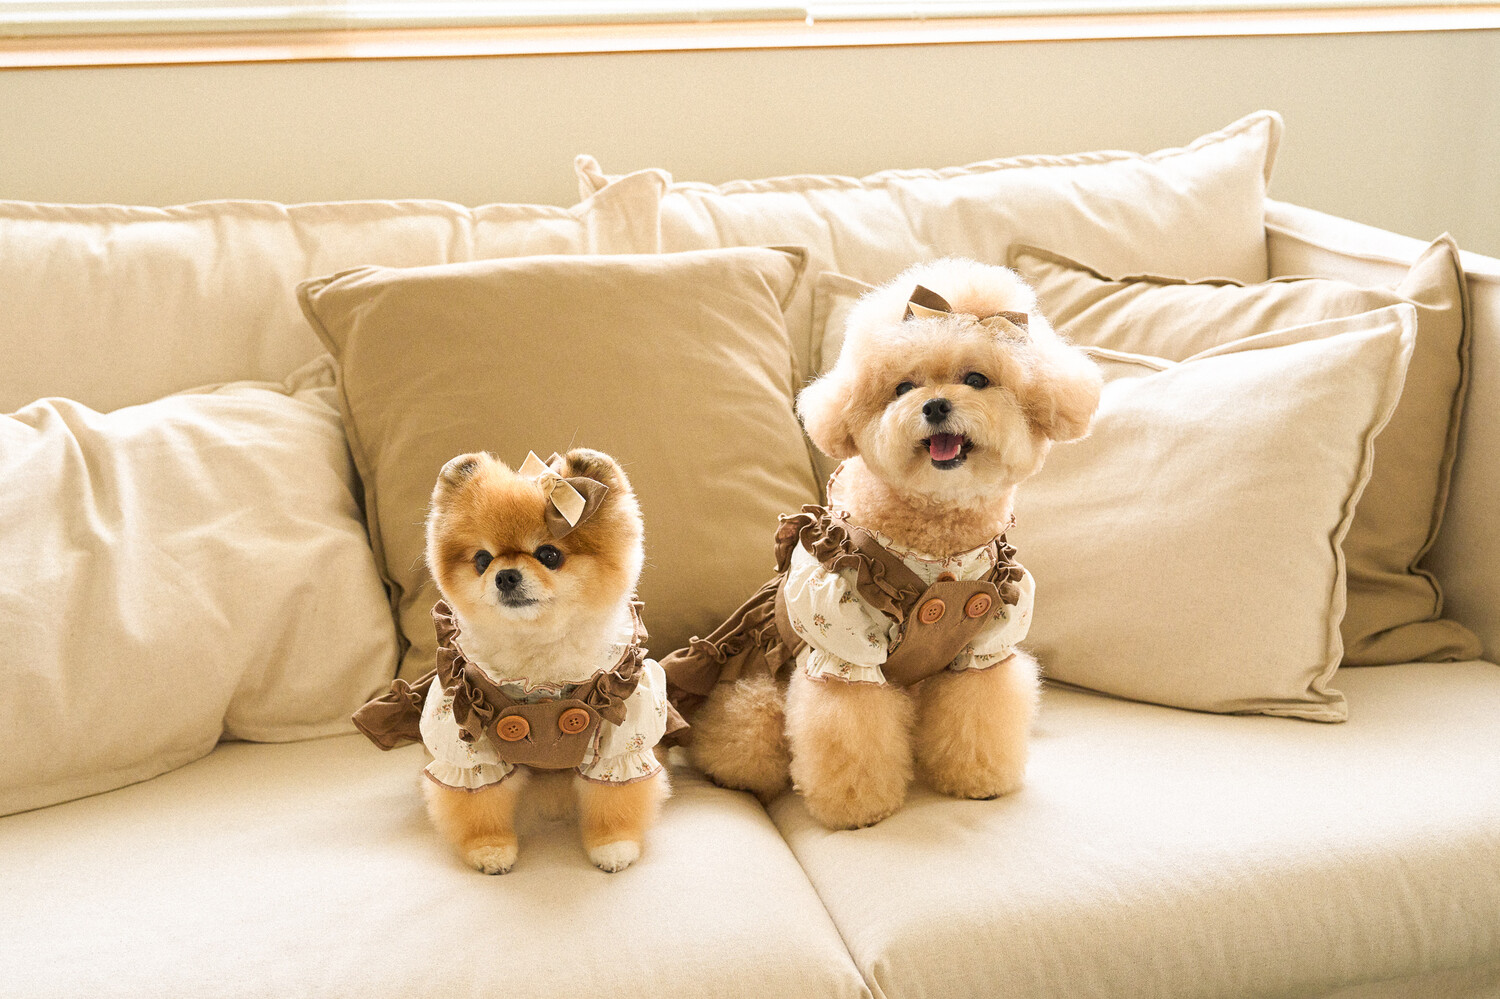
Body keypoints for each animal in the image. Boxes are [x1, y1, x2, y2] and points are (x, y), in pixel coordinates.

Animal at [662, 259, 1100, 829]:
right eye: (902, 387)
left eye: (976, 379)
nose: (934, 406)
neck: (937, 540)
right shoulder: (844, 645)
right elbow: (851, 727)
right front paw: (858, 809)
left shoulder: (985, 643)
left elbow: (979, 709)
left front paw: (978, 780)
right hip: (755, 698)